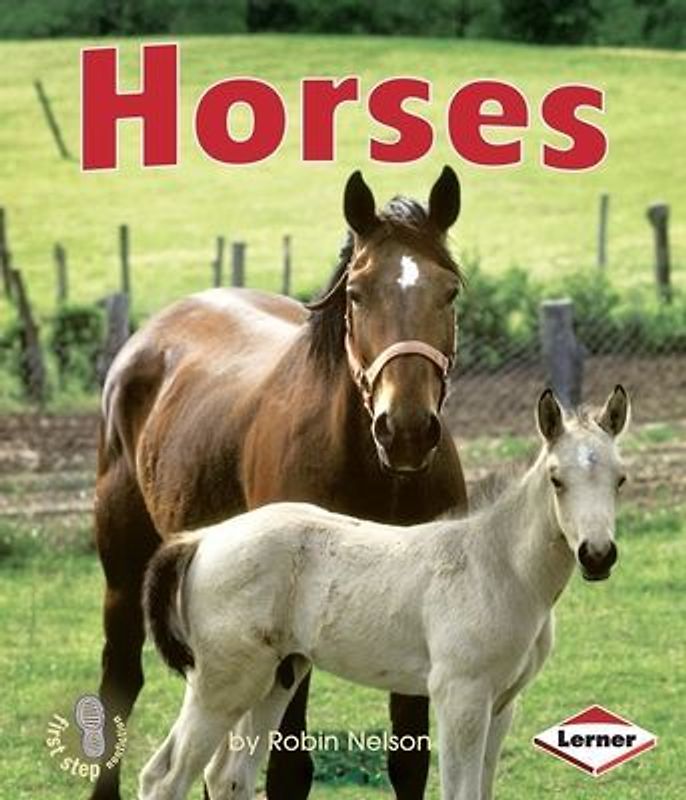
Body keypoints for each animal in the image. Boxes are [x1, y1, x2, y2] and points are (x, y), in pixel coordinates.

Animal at [91, 166, 468, 800]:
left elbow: (410, 760)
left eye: (450, 291)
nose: (407, 430)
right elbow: (291, 770)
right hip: (125, 573)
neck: (378, 475)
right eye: (357, 293)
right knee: (121, 680)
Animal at [139, 385, 630, 800]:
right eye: (556, 479)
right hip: (221, 684)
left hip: (274, 679)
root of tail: (202, 539)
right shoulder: (460, 696)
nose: (597, 555)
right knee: (165, 777)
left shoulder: (502, 704)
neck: (499, 567)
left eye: (620, 479)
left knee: (227, 775)